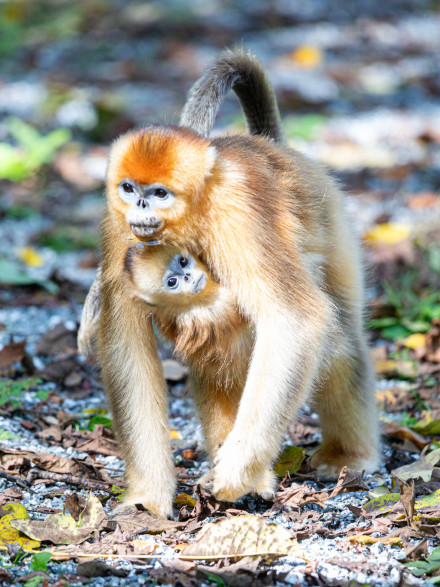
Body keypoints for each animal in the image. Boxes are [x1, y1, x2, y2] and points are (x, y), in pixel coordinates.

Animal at [90, 51, 378, 520]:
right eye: (129, 188)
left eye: (159, 193)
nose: (141, 205)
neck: (192, 216)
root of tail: (272, 145)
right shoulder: (120, 231)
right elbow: (128, 349)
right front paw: (146, 498)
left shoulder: (236, 212)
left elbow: (295, 320)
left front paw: (237, 471)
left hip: (332, 223)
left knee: (337, 341)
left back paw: (348, 456)